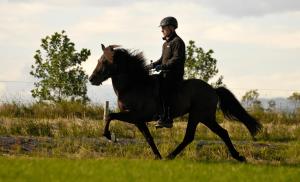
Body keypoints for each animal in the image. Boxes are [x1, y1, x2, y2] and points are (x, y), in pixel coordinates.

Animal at [88, 44, 262, 162]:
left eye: (105, 61)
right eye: (99, 60)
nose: (91, 79)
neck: (133, 85)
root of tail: (212, 89)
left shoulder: (134, 115)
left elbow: (110, 115)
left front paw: (109, 136)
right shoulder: (138, 120)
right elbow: (148, 138)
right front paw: (157, 156)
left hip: (198, 115)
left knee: (190, 136)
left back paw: (171, 155)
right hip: (206, 117)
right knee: (222, 133)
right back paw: (238, 157)